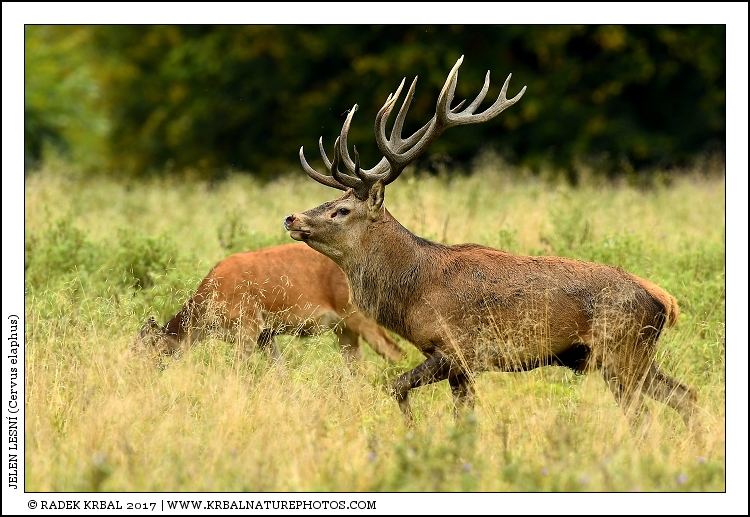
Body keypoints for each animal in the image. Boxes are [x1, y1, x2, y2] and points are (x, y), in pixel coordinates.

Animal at [134, 243, 406, 364]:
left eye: (143, 350)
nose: (134, 375)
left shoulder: (248, 322)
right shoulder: (266, 333)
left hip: (359, 313)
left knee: (397, 352)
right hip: (343, 328)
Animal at [283, 55, 699, 432]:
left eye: (341, 210)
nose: (292, 218)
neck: (412, 292)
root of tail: (664, 301)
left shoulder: (458, 350)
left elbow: (398, 386)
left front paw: (413, 433)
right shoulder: (460, 366)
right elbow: (460, 417)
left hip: (620, 350)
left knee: (644, 418)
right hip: (636, 356)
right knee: (686, 395)